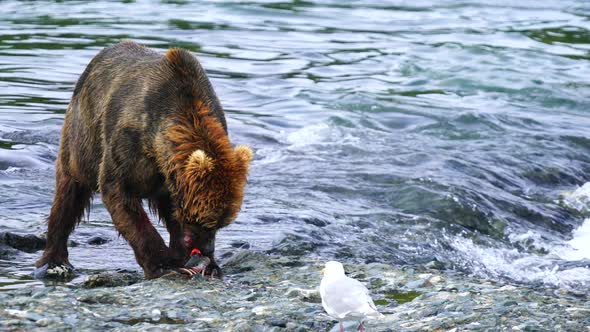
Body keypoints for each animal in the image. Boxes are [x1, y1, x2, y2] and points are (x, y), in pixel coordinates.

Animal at [34, 41, 252, 280]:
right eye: (202, 220)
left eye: (221, 224)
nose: (207, 249)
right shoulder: (129, 145)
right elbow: (121, 196)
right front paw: (163, 264)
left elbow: (172, 215)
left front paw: (206, 264)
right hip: (83, 137)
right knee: (69, 193)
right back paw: (54, 260)